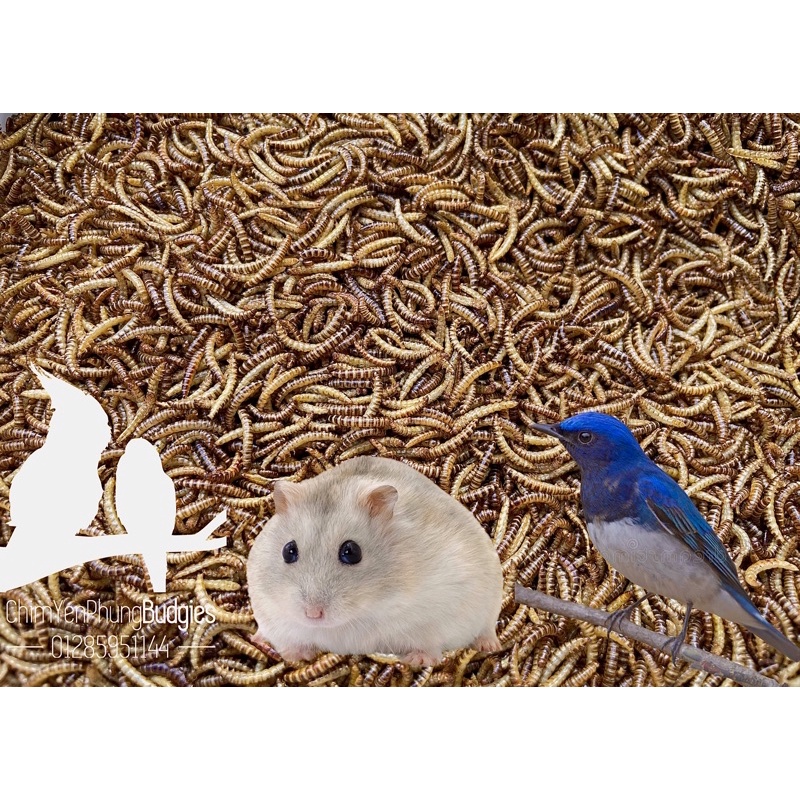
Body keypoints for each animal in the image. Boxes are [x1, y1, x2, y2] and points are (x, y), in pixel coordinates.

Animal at [246, 456, 504, 666]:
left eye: (351, 552)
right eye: (288, 551)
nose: (313, 614)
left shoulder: (442, 606)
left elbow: (430, 641)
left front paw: (417, 661)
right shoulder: (269, 610)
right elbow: (287, 640)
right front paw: (297, 656)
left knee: (486, 629)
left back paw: (491, 647)